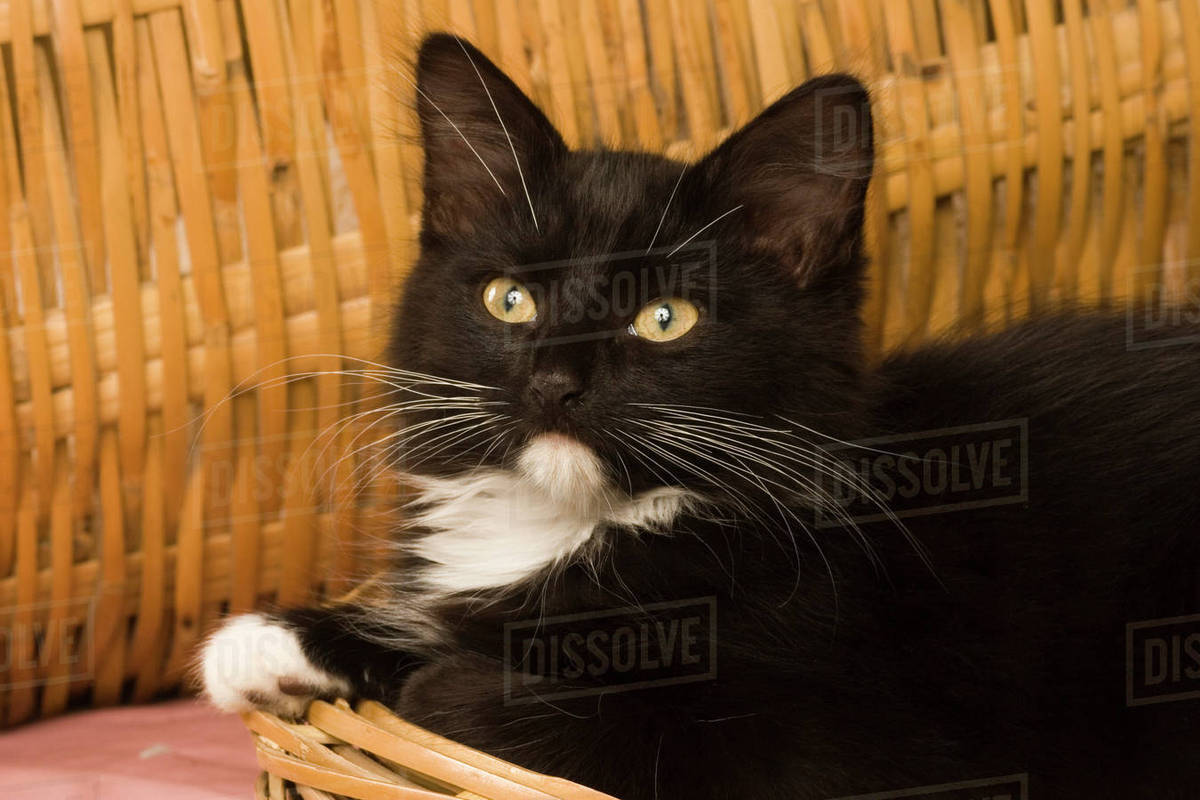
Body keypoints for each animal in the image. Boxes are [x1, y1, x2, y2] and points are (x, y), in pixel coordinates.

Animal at [204, 32, 1200, 800]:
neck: (590, 526)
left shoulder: (869, 743)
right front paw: (275, 644)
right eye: (510, 300)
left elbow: (491, 703)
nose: (557, 381)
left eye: (665, 318)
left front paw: (441, 683)